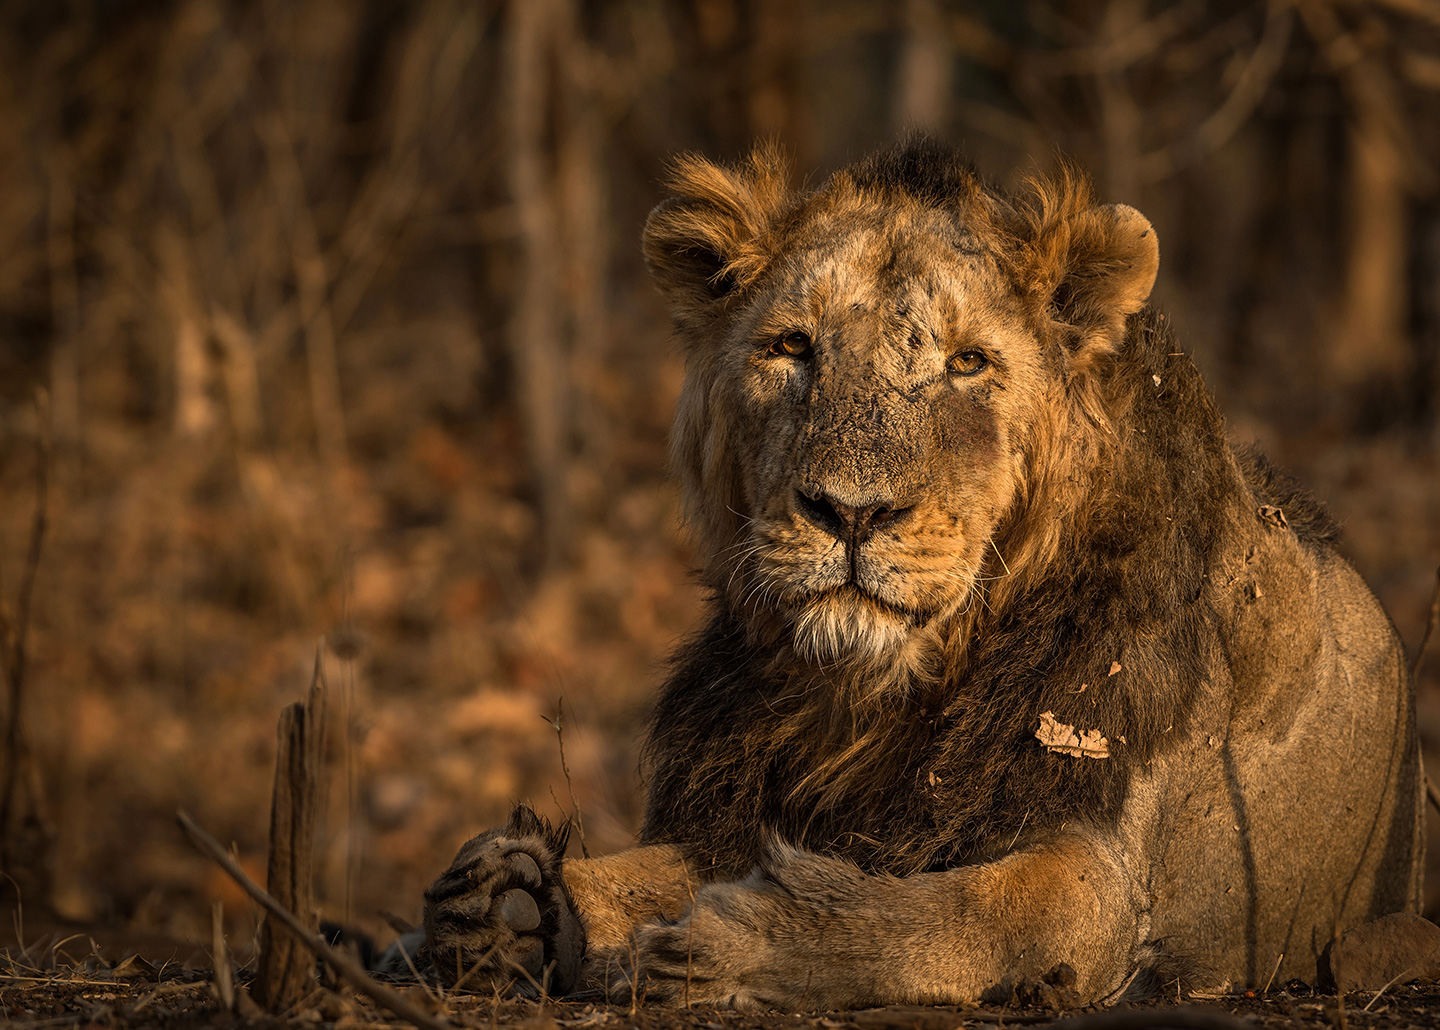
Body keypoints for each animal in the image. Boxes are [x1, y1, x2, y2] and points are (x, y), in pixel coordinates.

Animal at [415, 137, 1424, 1009]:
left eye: (968, 362)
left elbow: (955, 914)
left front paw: (738, 941)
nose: (852, 512)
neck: (870, 697)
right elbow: (643, 868)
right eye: (791, 346)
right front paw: (517, 902)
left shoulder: (1101, 880)